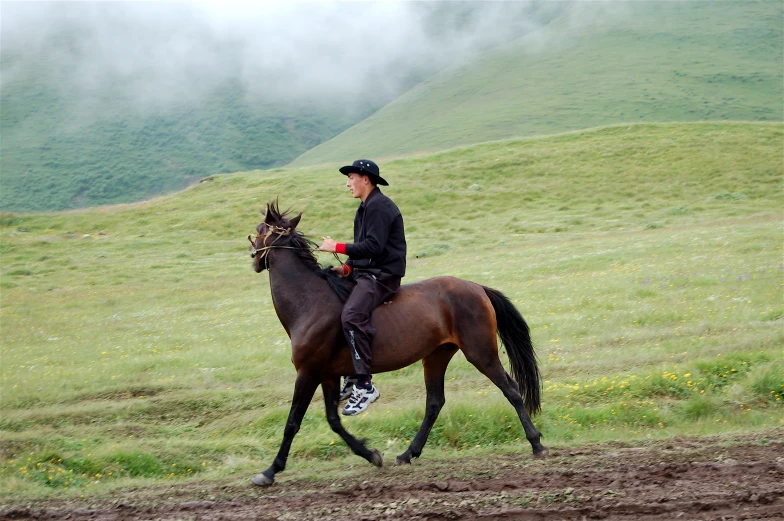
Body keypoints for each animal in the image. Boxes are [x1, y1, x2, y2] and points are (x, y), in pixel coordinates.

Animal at [248, 201, 548, 486]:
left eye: (260, 229)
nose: (253, 257)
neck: (310, 300)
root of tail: (477, 287)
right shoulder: (328, 375)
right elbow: (333, 421)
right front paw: (371, 454)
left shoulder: (308, 372)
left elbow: (292, 422)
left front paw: (270, 471)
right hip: (436, 356)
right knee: (434, 402)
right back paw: (408, 453)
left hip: (480, 353)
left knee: (511, 389)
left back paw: (536, 443)